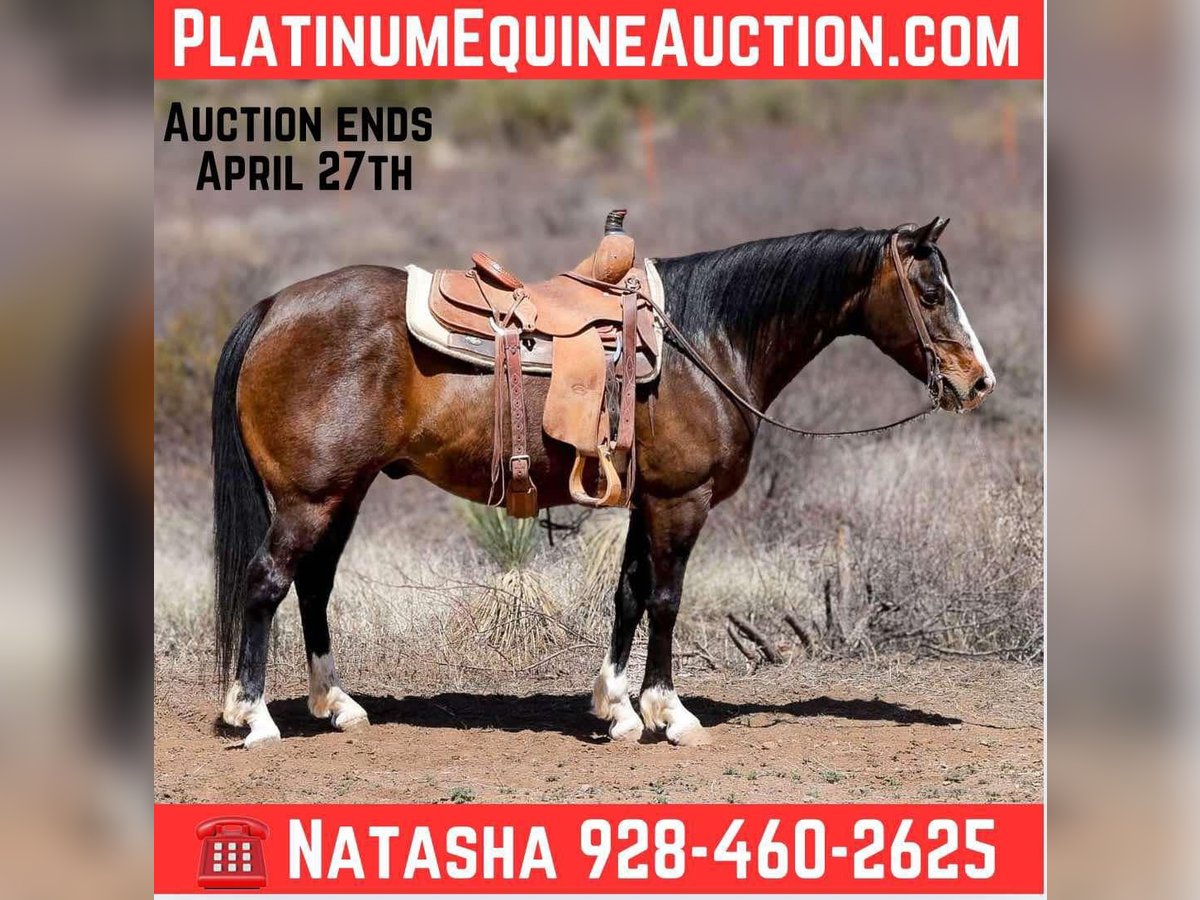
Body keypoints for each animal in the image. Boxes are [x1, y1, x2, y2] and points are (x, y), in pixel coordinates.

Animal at [211, 216, 995, 748]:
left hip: (343, 492)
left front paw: (616, 706)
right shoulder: (681, 502)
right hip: (310, 498)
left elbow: (628, 594)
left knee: (313, 585)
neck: (705, 341)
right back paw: (252, 715)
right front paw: (669, 712)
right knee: (266, 581)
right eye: (931, 292)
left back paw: (337, 705)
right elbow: (668, 600)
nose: (977, 381)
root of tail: (273, 308)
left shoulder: (647, 502)